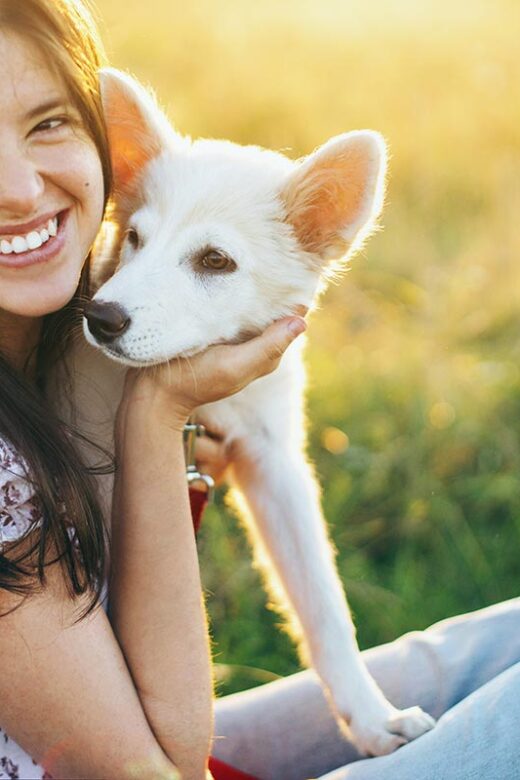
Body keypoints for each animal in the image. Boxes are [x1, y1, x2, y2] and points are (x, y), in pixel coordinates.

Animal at [68, 68, 434, 756]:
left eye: (215, 261)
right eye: (134, 239)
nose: (100, 320)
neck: (207, 409)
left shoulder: (275, 464)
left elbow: (324, 605)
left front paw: (374, 717)